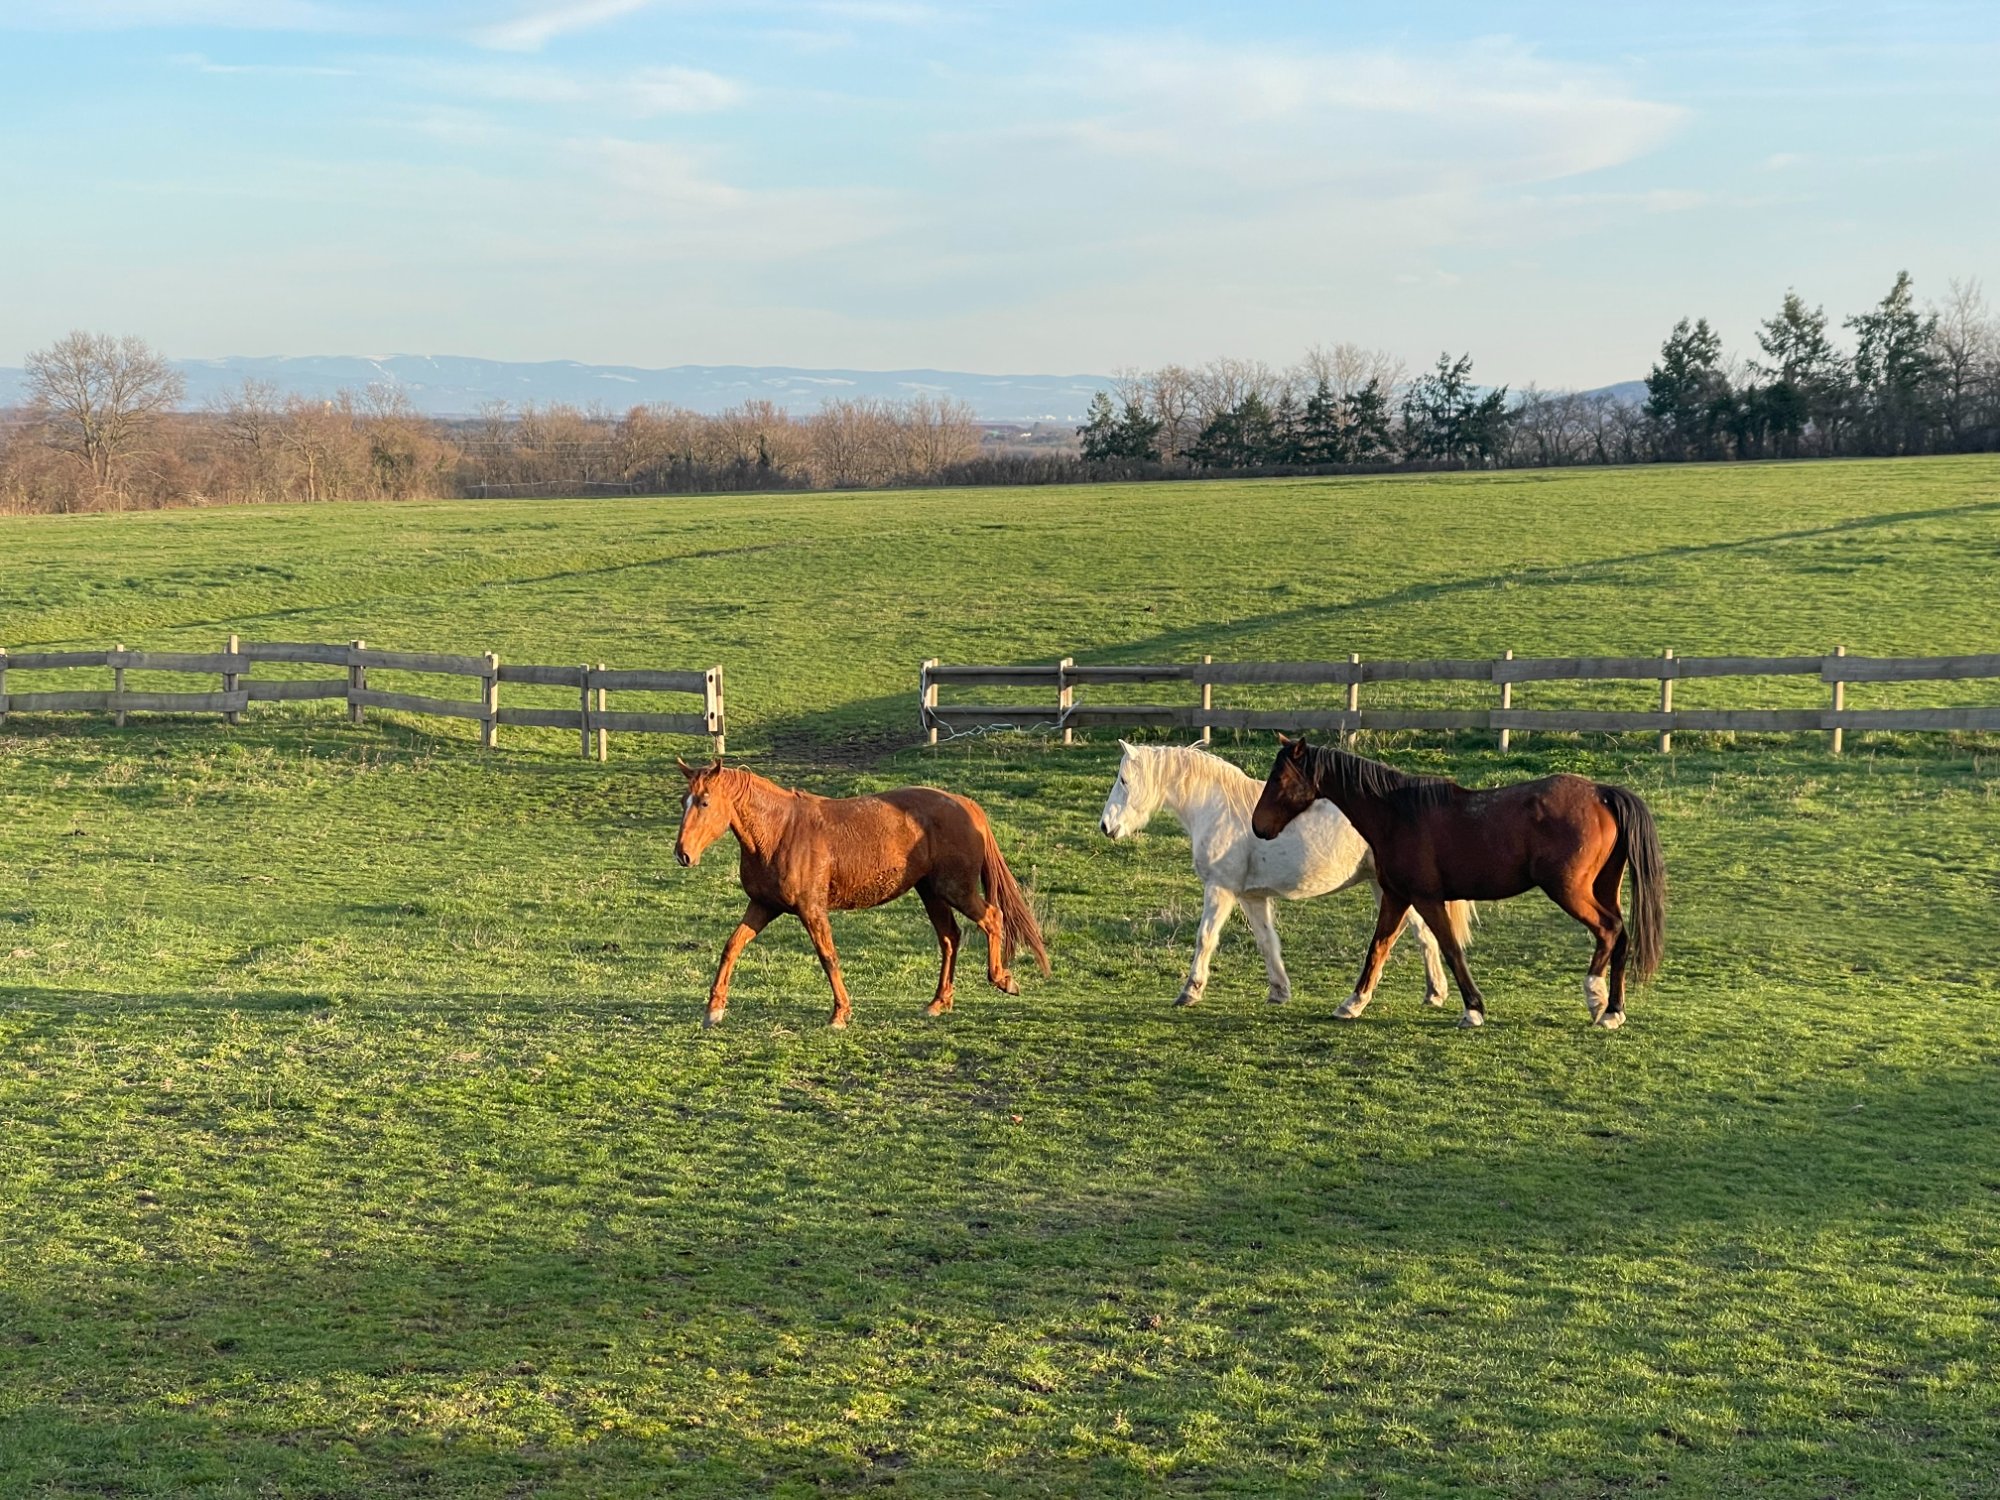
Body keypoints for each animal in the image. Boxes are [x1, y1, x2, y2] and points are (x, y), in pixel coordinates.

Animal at [673, 759, 1049, 1028]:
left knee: (992, 918)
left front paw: (840, 1014)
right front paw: (714, 1009)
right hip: (931, 892)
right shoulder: (763, 905)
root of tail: (965, 805)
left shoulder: (811, 909)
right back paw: (939, 1002)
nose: (682, 854)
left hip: (956, 889)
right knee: (950, 937)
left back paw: (1003, 979)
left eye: (704, 802)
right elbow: (732, 946)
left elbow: (828, 956)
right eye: (683, 801)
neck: (781, 832)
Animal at [1098, 741, 1466, 1012]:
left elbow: (1205, 938)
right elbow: (1266, 941)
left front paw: (1189, 991)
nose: (1105, 826)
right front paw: (1279, 991)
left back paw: (1428, 993)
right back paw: (1433, 992)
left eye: (1124, 780)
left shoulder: (1220, 888)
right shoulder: (1251, 897)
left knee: (1419, 933)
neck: (1218, 809)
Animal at [1251, 737, 1664, 1030]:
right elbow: (1378, 947)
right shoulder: (1396, 896)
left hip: (1570, 891)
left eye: (1281, 779)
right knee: (1621, 935)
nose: (1258, 826)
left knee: (1608, 930)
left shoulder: (1426, 899)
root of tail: (1602, 793)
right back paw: (1613, 1011)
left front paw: (1473, 1009)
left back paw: (1594, 996)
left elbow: (1451, 950)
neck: (1397, 814)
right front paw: (1353, 1003)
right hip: (1603, 888)